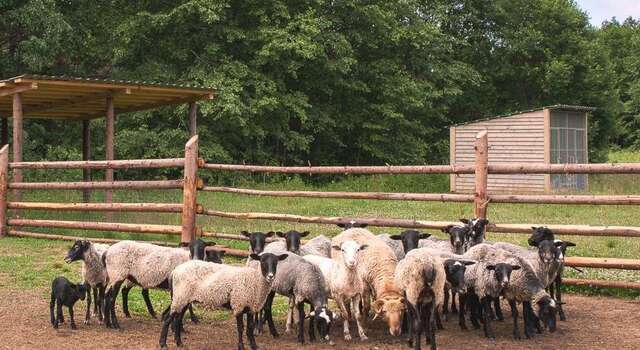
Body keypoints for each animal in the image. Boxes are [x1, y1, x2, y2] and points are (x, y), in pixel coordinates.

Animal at [160, 253, 288, 350]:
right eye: (262, 262)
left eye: (276, 262)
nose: (271, 276)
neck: (255, 281)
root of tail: (175, 271)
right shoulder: (238, 303)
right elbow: (240, 328)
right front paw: (241, 346)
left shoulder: (250, 307)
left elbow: (250, 328)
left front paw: (254, 346)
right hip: (180, 296)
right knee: (167, 319)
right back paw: (163, 344)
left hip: (184, 298)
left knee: (177, 319)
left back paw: (179, 343)